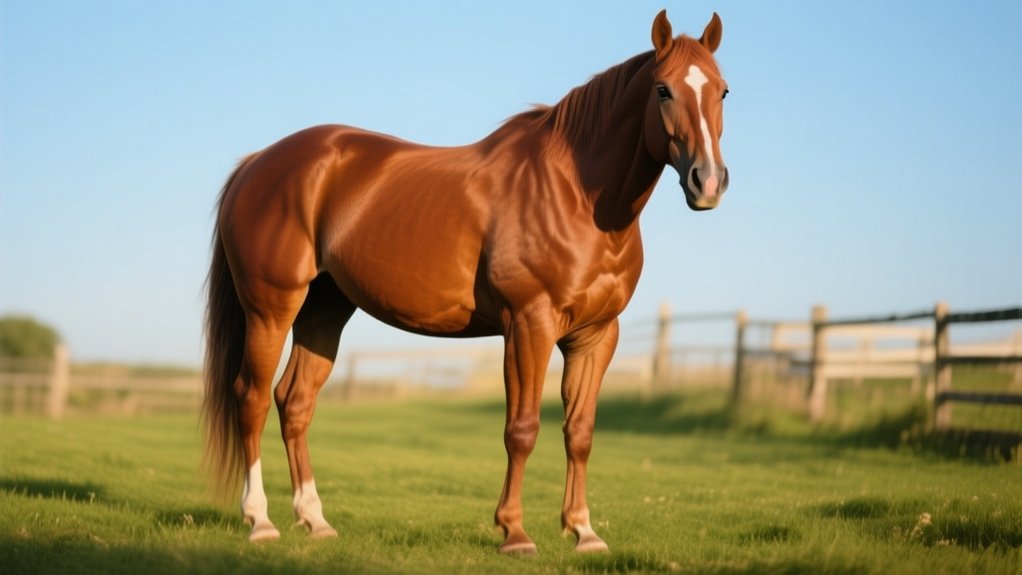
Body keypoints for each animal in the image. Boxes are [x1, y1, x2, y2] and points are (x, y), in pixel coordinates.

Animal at [203, 9, 729, 554]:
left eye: (723, 91)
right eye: (663, 89)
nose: (708, 182)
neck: (577, 196)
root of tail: (258, 162)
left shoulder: (597, 335)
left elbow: (580, 432)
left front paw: (583, 530)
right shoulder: (528, 324)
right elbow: (522, 428)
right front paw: (515, 532)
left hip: (324, 311)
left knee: (295, 402)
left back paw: (315, 519)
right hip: (271, 309)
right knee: (252, 398)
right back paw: (260, 521)